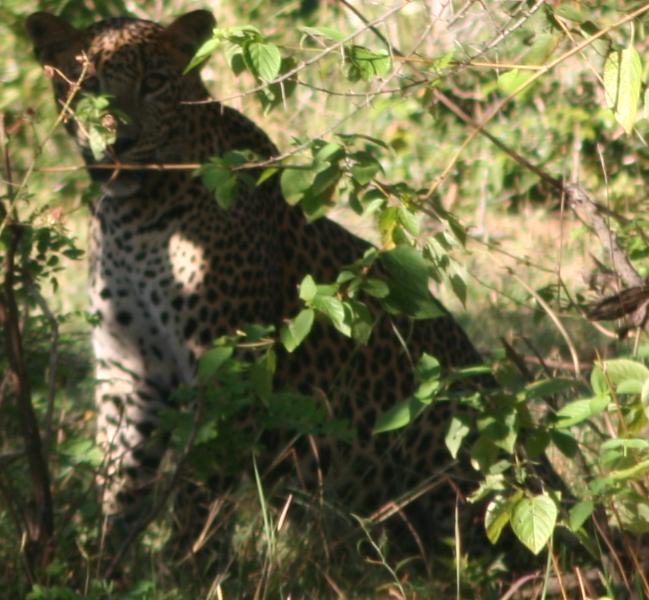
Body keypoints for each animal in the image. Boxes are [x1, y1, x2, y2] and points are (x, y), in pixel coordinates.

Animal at [26, 9, 499, 565]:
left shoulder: (224, 364)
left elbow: (198, 486)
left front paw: (185, 567)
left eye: (155, 83)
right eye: (87, 85)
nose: (118, 143)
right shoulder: (127, 366)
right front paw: (106, 566)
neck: (135, 214)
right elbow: (121, 482)